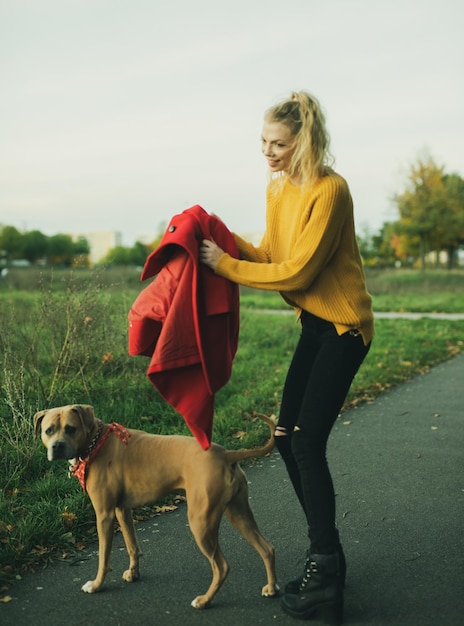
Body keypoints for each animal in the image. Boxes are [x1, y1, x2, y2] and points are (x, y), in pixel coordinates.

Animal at [34, 404, 280, 604]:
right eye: (49, 430)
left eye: (71, 429)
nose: (57, 446)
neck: (96, 441)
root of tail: (226, 454)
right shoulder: (122, 510)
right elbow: (132, 545)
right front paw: (133, 574)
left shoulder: (104, 515)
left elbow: (104, 556)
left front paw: (96, 585)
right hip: (239, 513)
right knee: (267, 548)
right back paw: (271, 588)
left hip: (201, 522)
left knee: (221, 567)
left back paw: (204, 601)